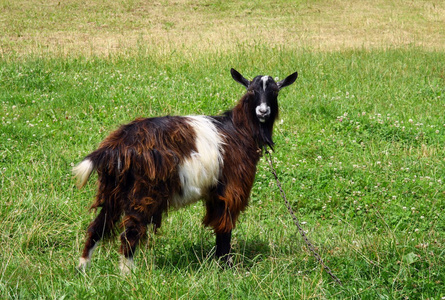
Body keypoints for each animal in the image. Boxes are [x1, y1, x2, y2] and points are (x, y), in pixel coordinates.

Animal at [73, 68, 298, 272]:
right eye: (251, 91)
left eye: (275, 92)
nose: (263, 111)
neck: (239, 130)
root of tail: (116, 145)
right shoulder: (230, 189)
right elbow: (225, 228)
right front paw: (226, 267)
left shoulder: (214, 193)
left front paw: (219, 264)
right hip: (142, 193)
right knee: (130, 232)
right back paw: (127, 274)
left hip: (114, 189)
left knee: (98, 226)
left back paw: (83, 269)